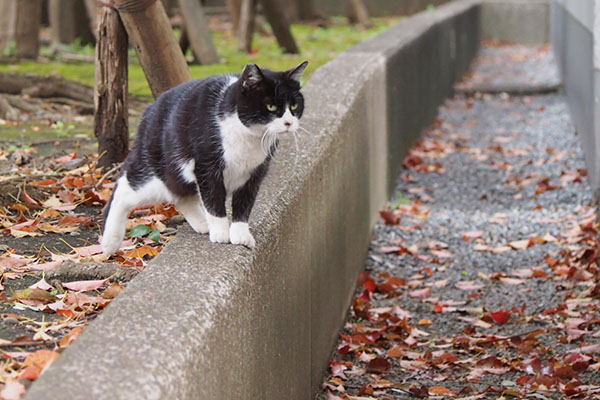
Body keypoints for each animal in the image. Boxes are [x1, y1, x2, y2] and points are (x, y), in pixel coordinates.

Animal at [101, 61, 308, 256]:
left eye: (294, 106)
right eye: (271, 106)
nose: (289, 123)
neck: (249, 136)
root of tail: (149, 110)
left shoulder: (256, 171)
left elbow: (245, 202)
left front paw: (241, 234)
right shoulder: (207, 165)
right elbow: (213, 198)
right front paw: (221, 233)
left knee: (180, 195)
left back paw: (202, 223)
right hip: (158, 169)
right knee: (124, 188)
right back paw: (110, 242)